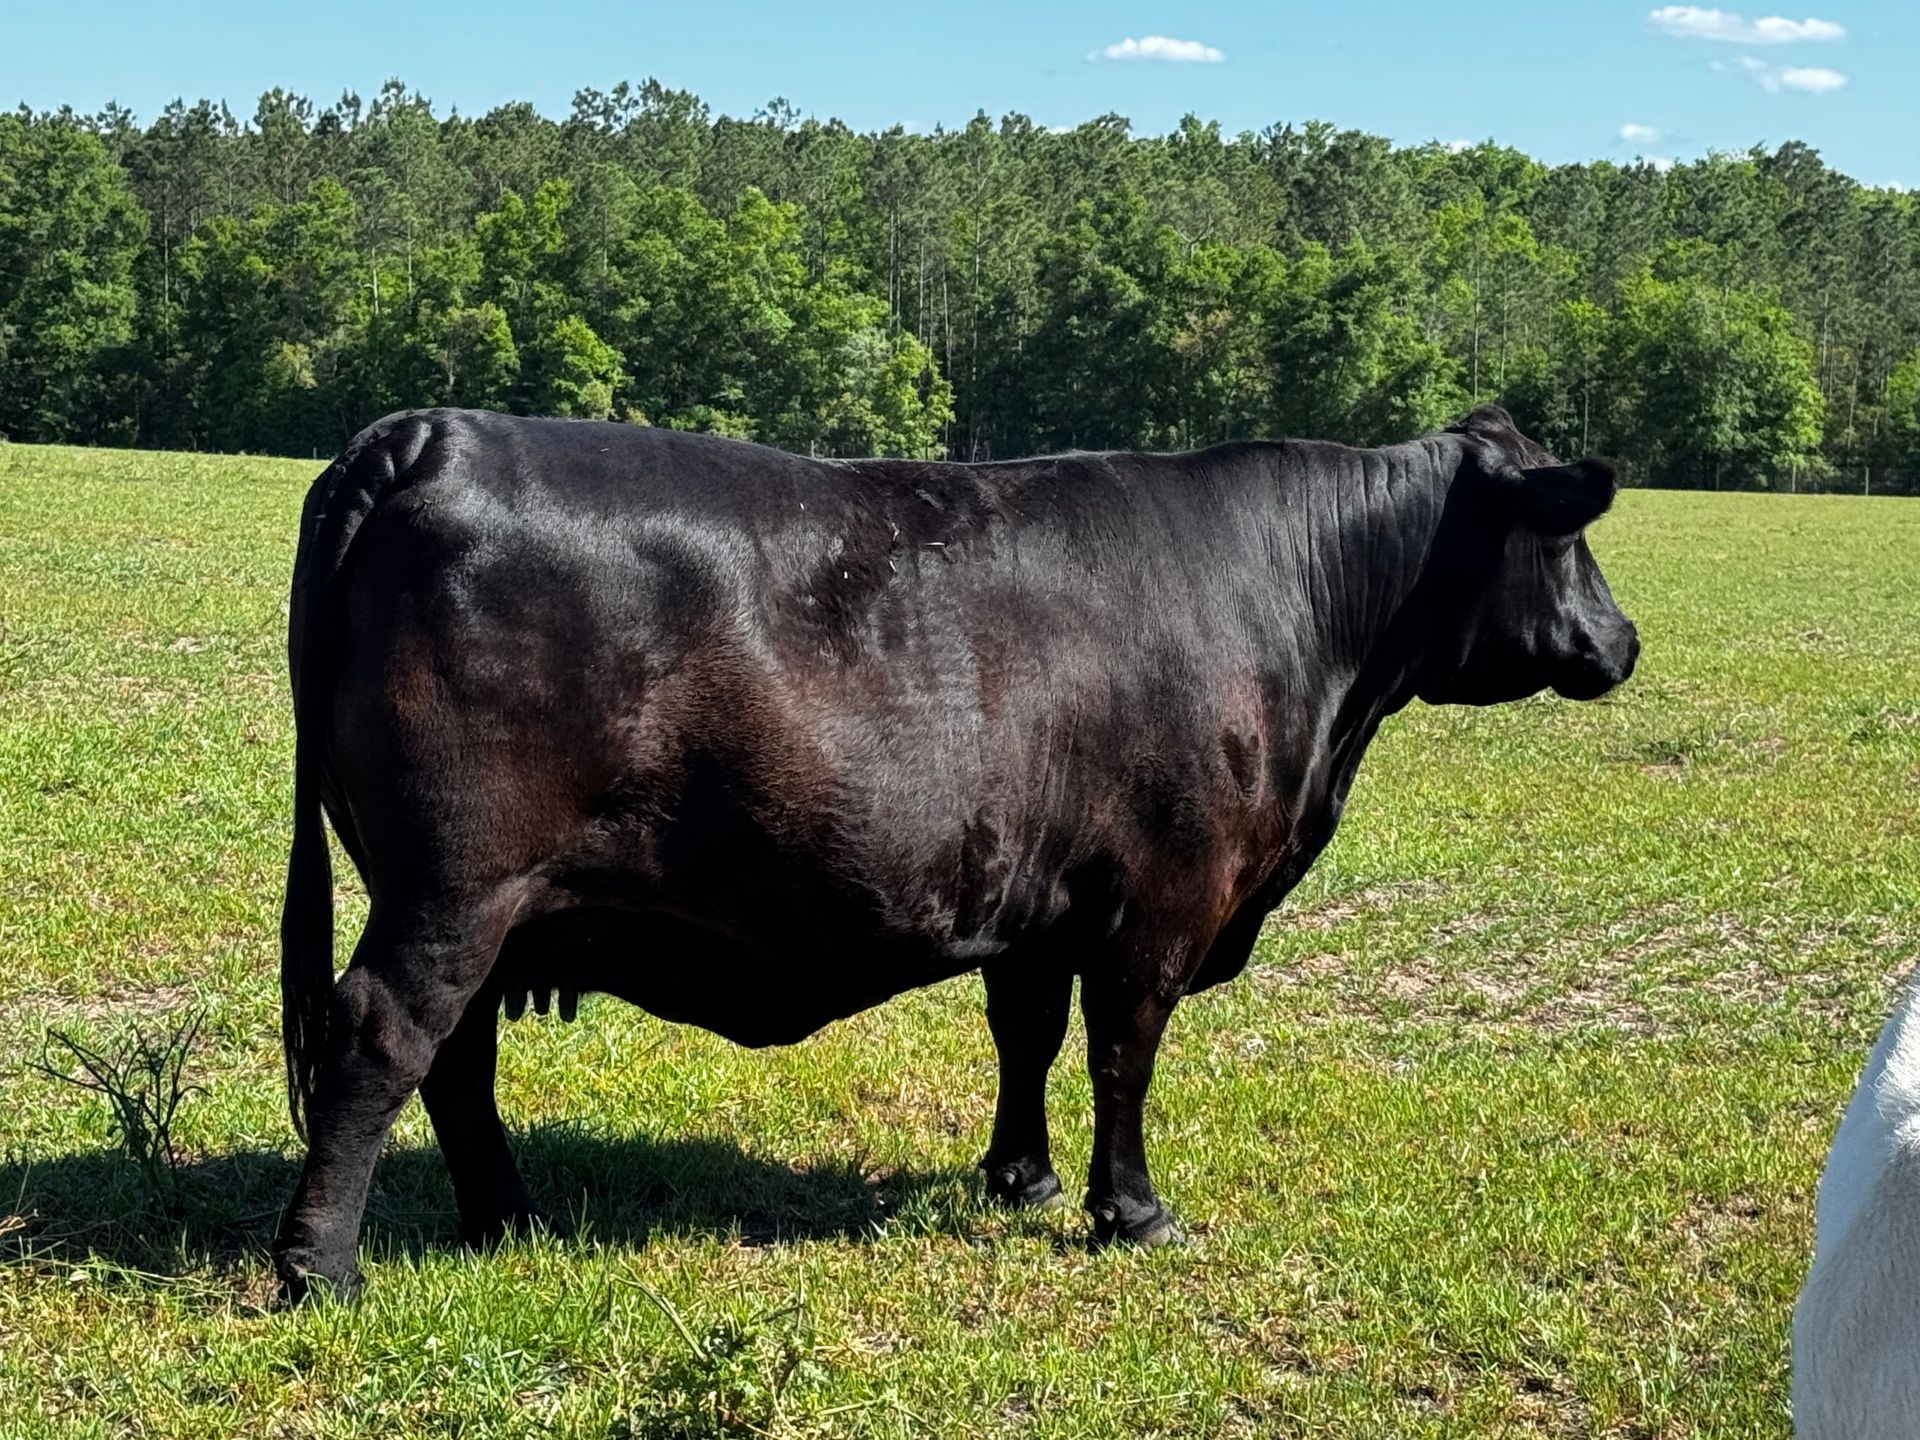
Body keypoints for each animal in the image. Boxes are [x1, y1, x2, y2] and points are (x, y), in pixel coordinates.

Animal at [271, 403, 1638, 1299]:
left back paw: (510, 1222)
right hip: (455, 886)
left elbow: (1025, 1031)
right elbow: (1124, 1052)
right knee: (383, 1037)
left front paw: (1018, 1178)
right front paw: (1131, 1211)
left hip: (485, 904)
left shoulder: (1039, 893)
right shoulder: (1167, 896)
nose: (1622, 643)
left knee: (457, 1056)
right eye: (1565, 536)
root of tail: (427, 434)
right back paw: (322, 1268)